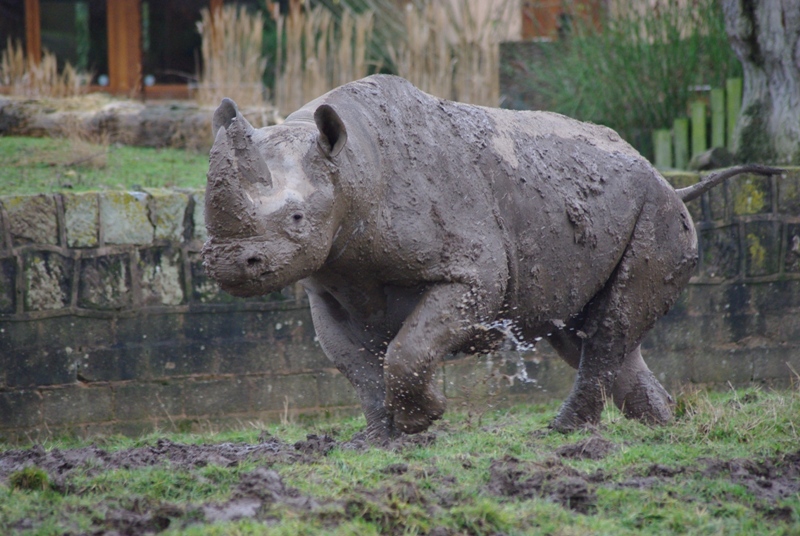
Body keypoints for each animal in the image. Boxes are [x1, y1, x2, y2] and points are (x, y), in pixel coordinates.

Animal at [202, 75, 779, 442]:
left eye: (298, 219)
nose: (230, 264)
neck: (351, 167)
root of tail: (670, 182)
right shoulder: (328, 280)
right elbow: (353, 363)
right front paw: (379, 440)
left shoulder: (471, 271)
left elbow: (408, 348)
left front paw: (423, 419)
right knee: (587, 333)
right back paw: (663, 429)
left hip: (655, 214)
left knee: (610, 329)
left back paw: (566, 433)